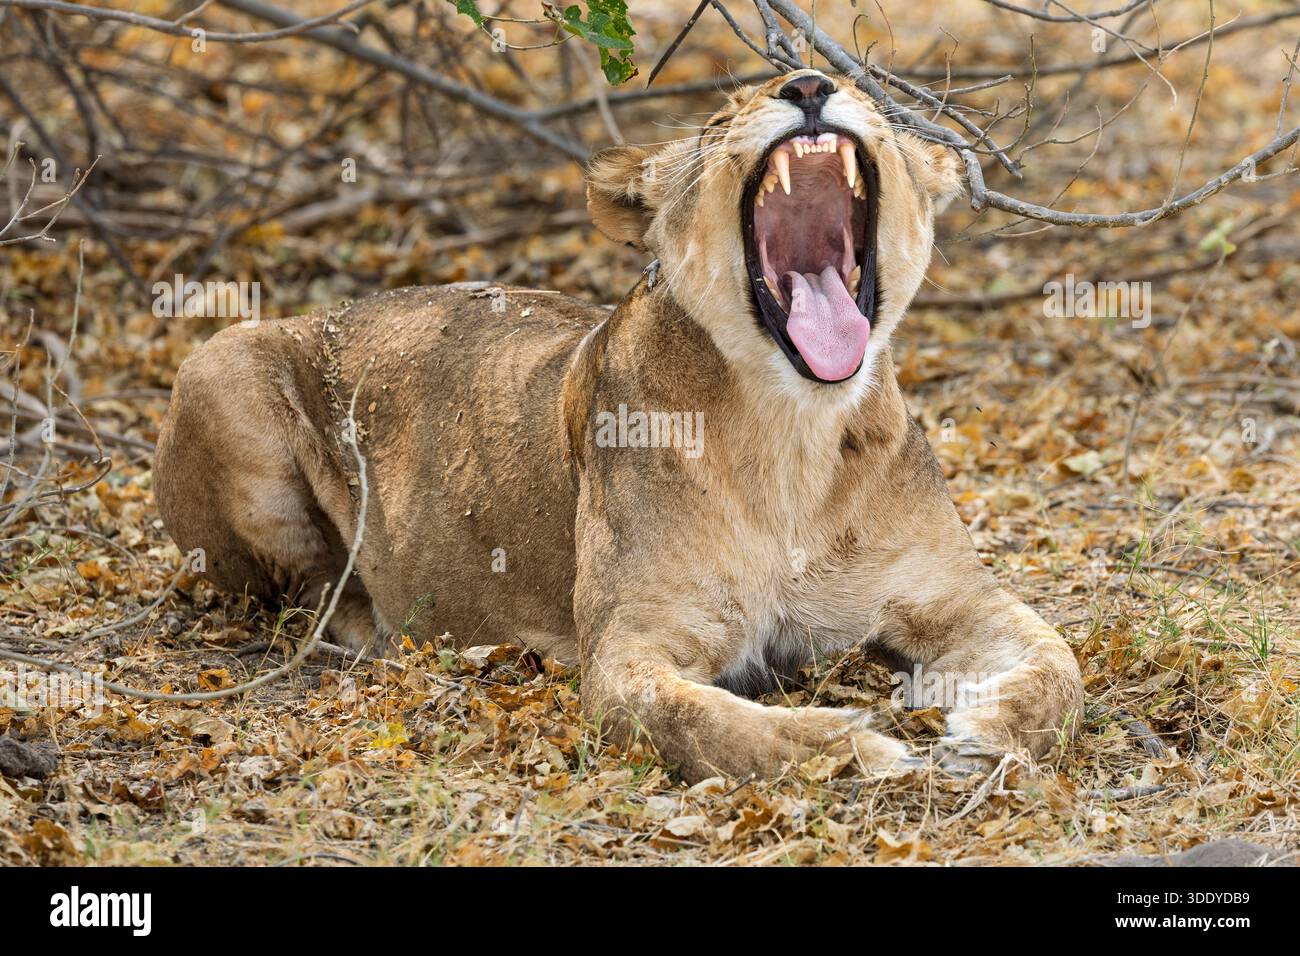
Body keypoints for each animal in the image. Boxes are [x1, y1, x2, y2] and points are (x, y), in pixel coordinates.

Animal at [154, 70, 1083, 783]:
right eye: (718, 120)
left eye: (870, 102)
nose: (812, 86)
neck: (795, 432)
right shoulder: (628, 649)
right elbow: (714, 725)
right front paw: (857, 749)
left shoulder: (951, 595)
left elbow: (1061, 666)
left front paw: (985, 735)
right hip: (220, 363)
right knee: (301, 589)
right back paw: (368, 624)